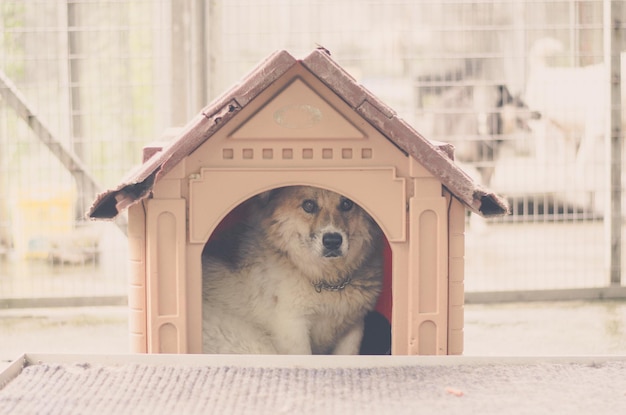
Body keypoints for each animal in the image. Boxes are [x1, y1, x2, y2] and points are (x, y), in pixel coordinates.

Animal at [202, 187, 382, 356]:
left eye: (347, 204)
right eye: (308, 205)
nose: (333, 241)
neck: (327, 280)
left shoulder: (354, 326)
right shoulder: (293, 328)